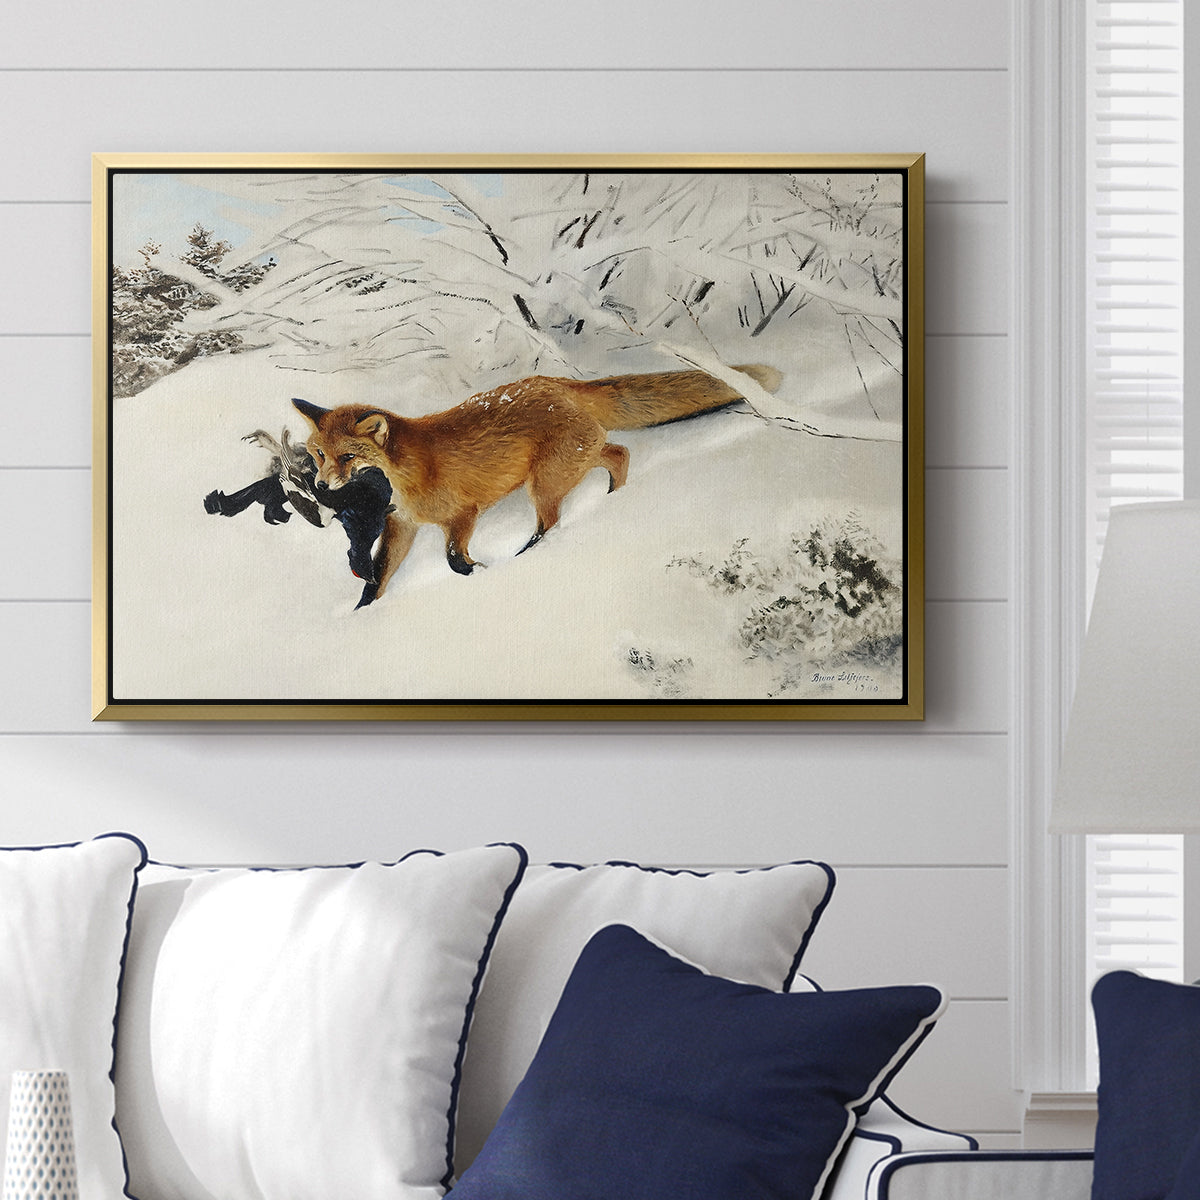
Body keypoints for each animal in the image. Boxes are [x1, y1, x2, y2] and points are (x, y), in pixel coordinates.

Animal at [292, 364, 781, 604]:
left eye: (347, 457)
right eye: (319, 454)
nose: (321, 485)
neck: (407, 473)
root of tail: (557, 383)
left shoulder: (463, 514)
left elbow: (453, 560)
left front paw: (481, 572)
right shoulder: (402, 525)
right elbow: (377, 577)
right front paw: (362, 614)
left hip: (544, 483)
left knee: (553, 521)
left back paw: (531, 554)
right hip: (570, 464)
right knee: (619, 453)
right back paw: (614, 498)